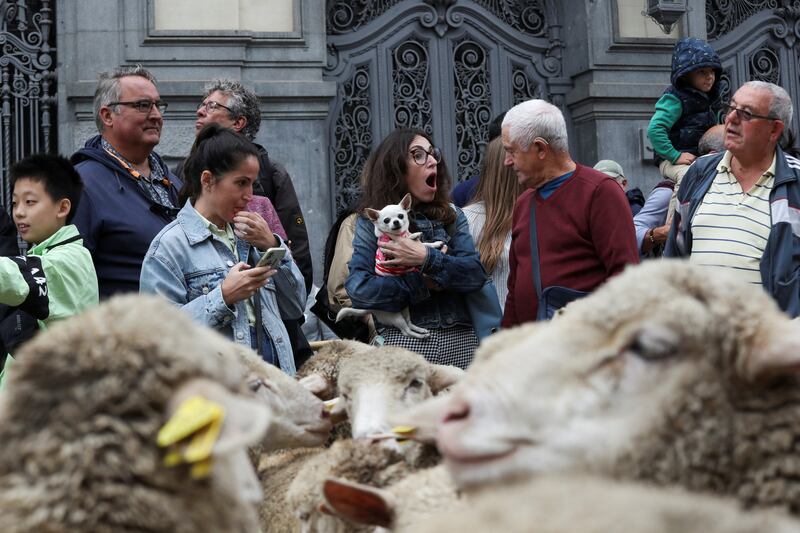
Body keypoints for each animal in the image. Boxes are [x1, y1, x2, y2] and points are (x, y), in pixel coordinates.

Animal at [336, 193, 444, 338]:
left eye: (401, 216)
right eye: (386, 220)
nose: (396, 222)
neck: (398, 235)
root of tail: (370, 309)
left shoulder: (416, 245)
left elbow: (424, 245)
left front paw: (435, 244)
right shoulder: (388, 255)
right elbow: (406, 240)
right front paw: (413, 236)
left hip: (404, 309)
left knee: (409, 324)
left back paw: (421, 331)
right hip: (395, 317)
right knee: (406, 331)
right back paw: (420, 335)